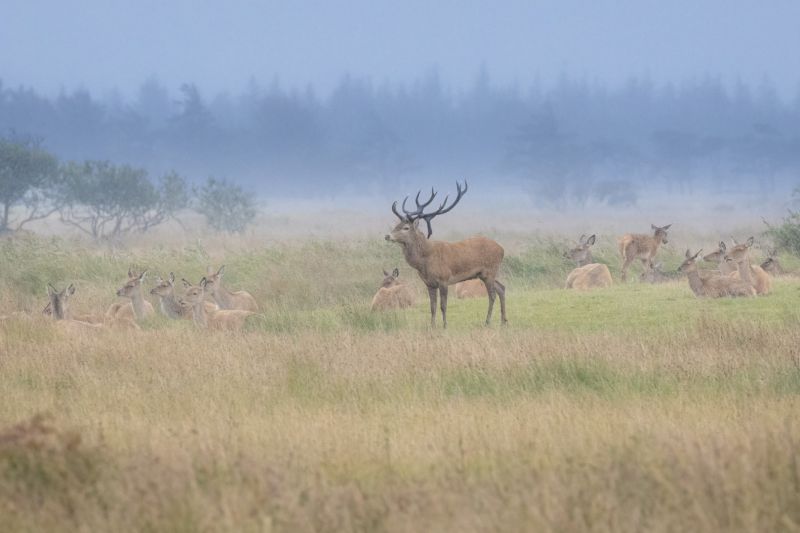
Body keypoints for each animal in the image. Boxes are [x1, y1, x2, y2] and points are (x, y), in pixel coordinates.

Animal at [385, 181, 506, 328]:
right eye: (397, 225)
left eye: (406, 228)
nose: (387, 236)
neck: (425, 261)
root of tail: (502, 249)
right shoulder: (429, 283)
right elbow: (432, 306)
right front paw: (432, 326)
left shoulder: (444, 279)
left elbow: (443, 305)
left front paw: (444, 326)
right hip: (485, 274)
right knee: (502, 288)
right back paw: (504, 321)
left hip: (489, 271)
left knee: (492, 295)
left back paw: (487, 321)